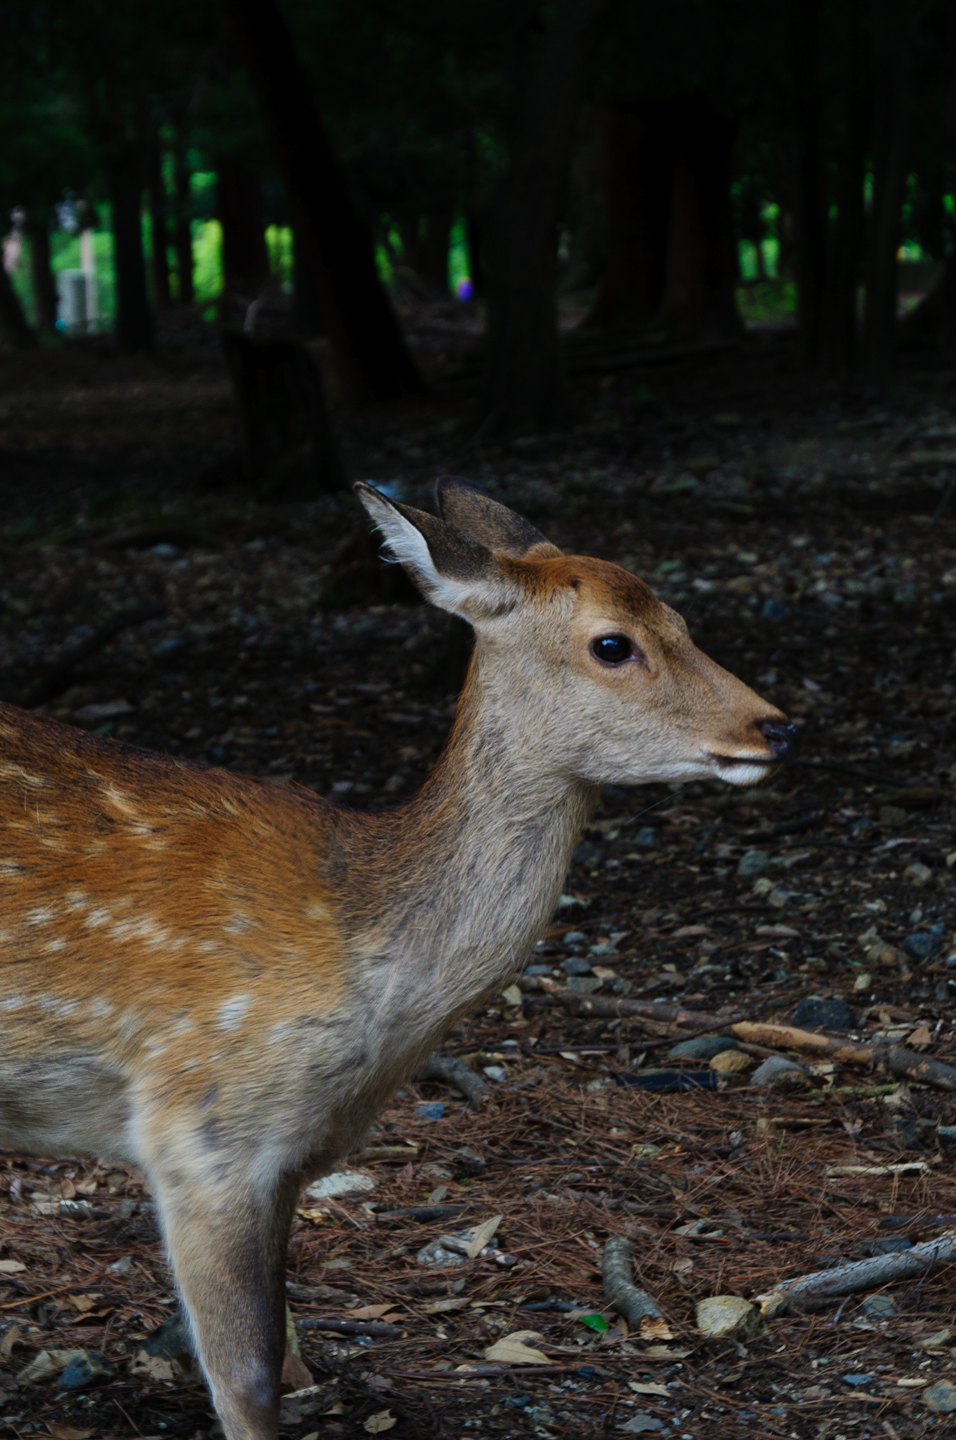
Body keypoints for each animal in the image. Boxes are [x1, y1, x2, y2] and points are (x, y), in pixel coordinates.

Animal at [0, 480, 794, 1440]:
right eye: (613, 643)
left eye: (681, 618)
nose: (775, 728)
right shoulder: (200, 1127)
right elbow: (248, 1377)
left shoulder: (300, 1150)